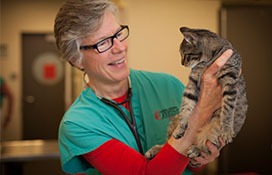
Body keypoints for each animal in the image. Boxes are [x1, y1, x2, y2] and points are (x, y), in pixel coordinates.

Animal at [146, 26, 248, 167]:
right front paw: (181, 127)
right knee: (168, 144)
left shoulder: (230, 81)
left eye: (185, 55)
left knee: (207, 147)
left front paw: (227, 130)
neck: (207, 62)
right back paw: (155, 149)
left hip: (214, 130)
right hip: (174, 121)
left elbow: (228, 109)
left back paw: (196, 149)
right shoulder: (192, 84)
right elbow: (186, 107)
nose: (182, 63)